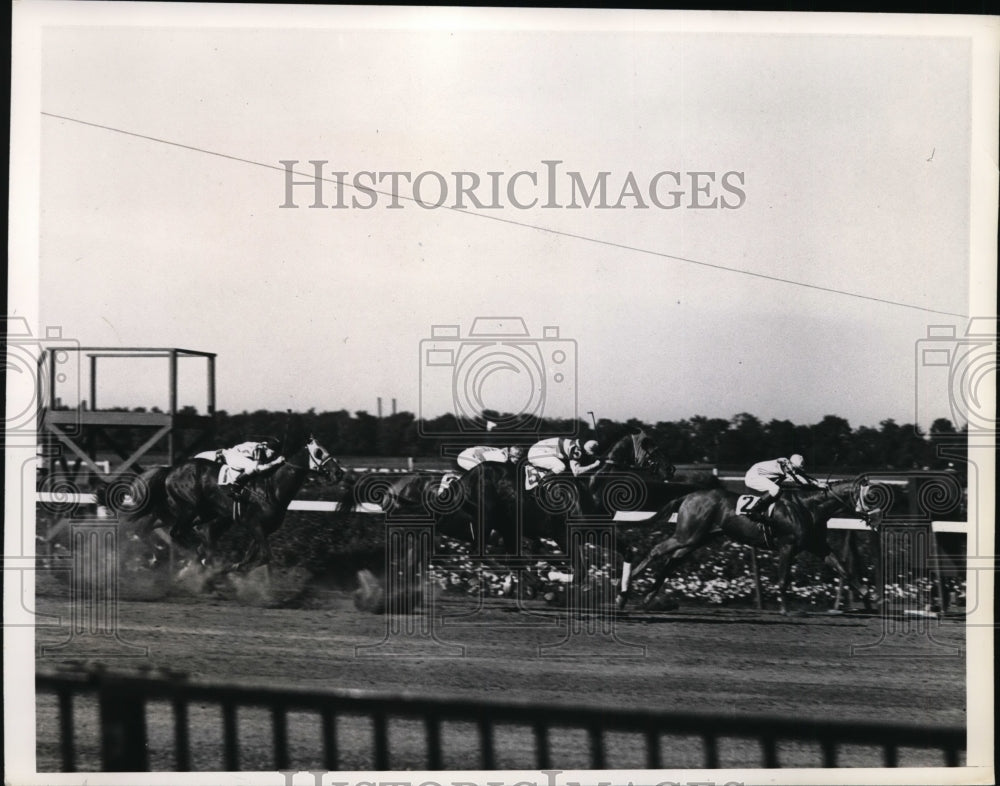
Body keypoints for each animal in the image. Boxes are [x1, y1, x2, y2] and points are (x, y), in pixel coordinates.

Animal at [112, 432, 342, 568]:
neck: (272, 488)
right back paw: (191, 557)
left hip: (186, 513)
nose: (338, 473)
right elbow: (265, 556)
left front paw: (234, 569)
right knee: (175, 533)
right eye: (318, 452)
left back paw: (163, 556)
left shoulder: (263, 529)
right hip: (188, 509)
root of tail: (170, 470)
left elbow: (253, 556)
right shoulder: (254, 524)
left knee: (147, 529)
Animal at [612, 472, 880, 612]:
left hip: (697, 539)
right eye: (870, 496)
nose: (876, 520)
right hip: (688, 534)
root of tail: (690, 495)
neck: (808, 507)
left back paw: (646, 597)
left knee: (672, 562)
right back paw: (623, 586)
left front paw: (870, 596)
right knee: (657, 551)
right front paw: (784, 609)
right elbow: (783, 579)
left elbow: (843, 569)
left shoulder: (818, 546)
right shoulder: (787, 546)